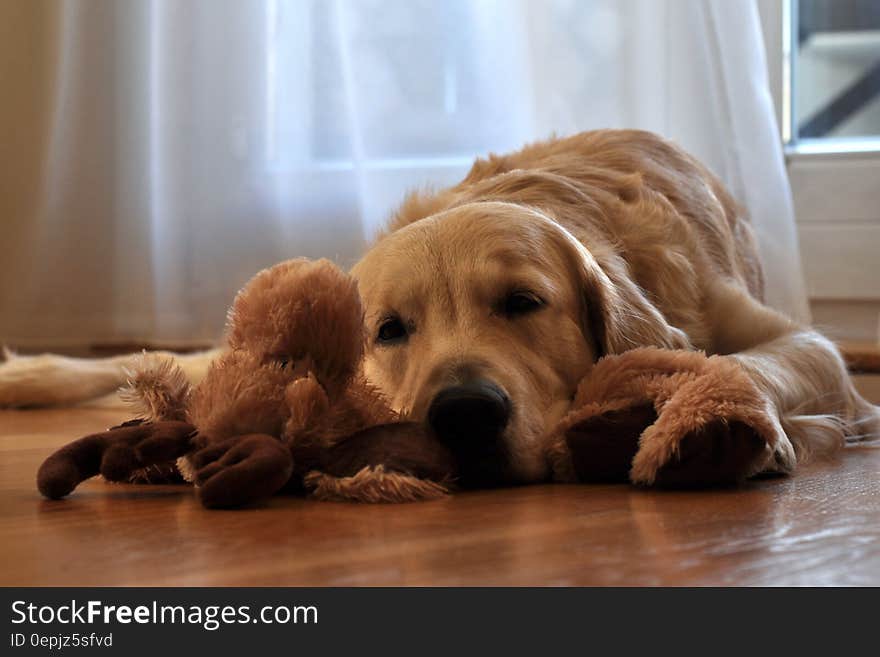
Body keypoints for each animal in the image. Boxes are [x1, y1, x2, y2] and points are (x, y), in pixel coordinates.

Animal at [3, 129, 876, 486]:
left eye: (524, 302)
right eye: (390, 329)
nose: (462, 414)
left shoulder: (798, 342)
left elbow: (757, 361)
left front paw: (716, 424)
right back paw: (28, 375)